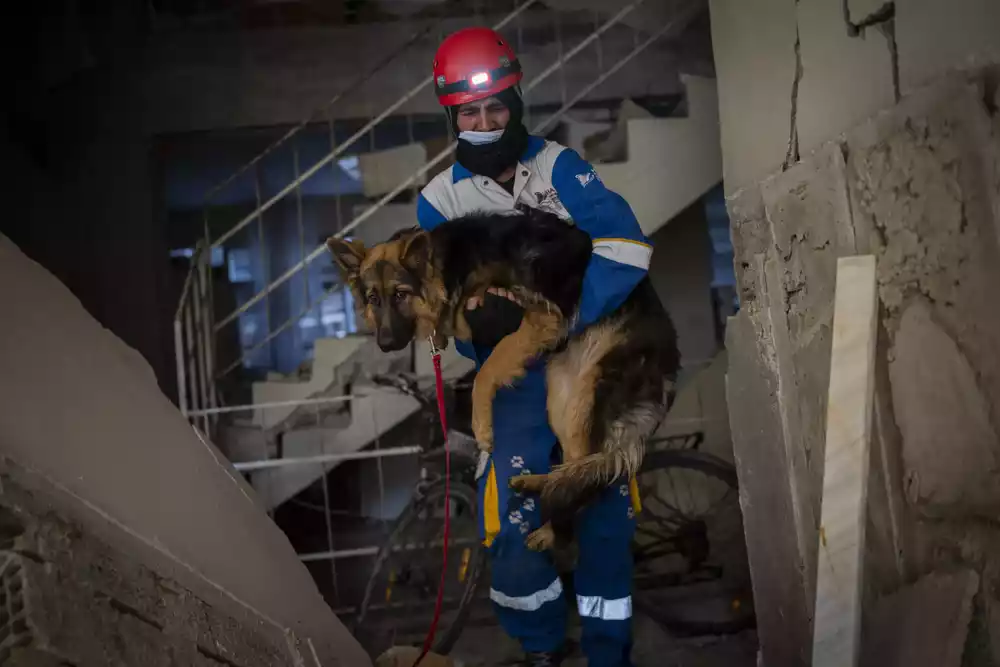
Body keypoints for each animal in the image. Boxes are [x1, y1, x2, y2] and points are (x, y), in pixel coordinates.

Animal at [328, 210, 680, 552]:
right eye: (373, 299)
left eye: (400, 295)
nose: (385, 344)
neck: (448, 267)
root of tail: (670, 363)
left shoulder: (539, 316)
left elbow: (487, 369)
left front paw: (481, 427)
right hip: (564, 398)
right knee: (576, 467)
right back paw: (540, 488)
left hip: (593, 395)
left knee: (591, 478)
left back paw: (551, 526)